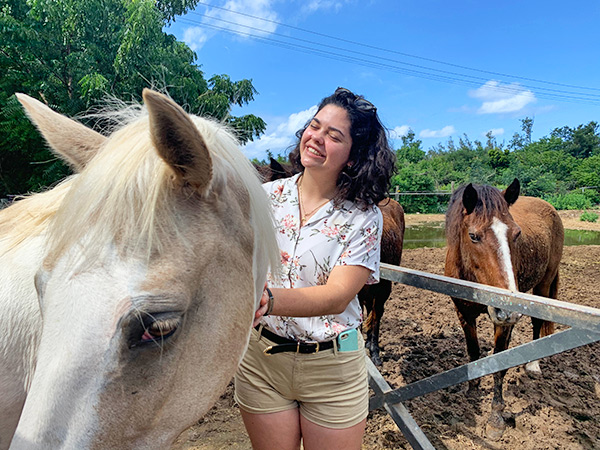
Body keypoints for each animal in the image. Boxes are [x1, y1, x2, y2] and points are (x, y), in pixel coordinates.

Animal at [442, 178, 564, 440]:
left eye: (517, 233)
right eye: (473, 235)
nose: (506, 309)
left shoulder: (502, 321)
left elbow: (499, 365)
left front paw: (496, 417)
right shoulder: (464, 314)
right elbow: (473, 351)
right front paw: (472, 388)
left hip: (542, 285)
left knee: (537, 323)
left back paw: (533, 365)